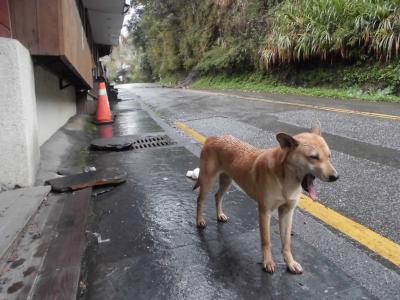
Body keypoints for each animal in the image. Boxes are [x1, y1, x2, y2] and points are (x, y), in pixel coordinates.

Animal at [194, 123, 338, 274]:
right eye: (313, 157)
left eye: (329, 156)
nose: (336, 177)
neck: (285, 179)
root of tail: (213, 137)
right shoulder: (264, 212)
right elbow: (266, 240)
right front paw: (267, 262)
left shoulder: (287, 212)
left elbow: (287, 242)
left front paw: (290, 262)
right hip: (207, 180)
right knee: (200, 200)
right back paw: (200, 220)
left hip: (226, 180)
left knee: (217, 196)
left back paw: (219, 215)